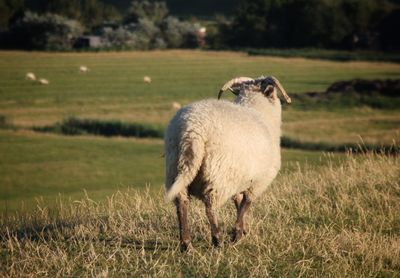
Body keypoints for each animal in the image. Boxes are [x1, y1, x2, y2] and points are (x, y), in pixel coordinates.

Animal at [164, 75, 292, 251]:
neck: (260, 112)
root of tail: (192, 131)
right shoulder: (257, 183)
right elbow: (245, 204)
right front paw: (237, 234)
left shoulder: (240, 180)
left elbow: (238, 203)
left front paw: (243, 230)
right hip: (217, 175)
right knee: (210, 208)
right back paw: (217, 240)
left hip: (176, 169)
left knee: (181, 204)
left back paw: (186, 244)